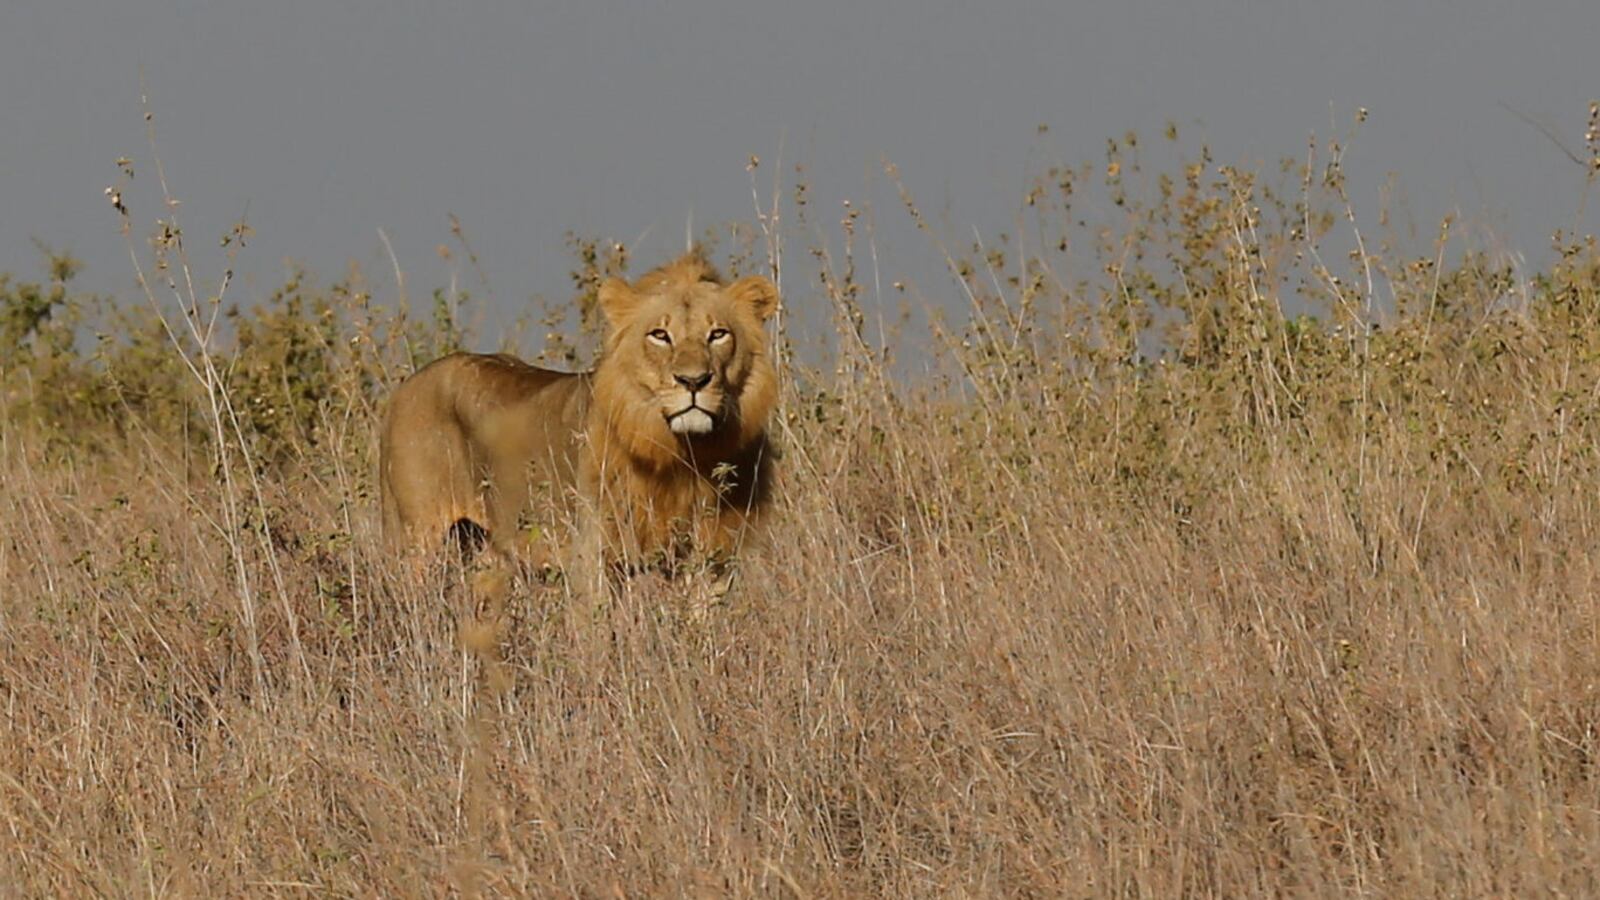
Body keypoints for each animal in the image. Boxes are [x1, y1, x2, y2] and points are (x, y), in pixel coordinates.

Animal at [379, 252, 780, 582]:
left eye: (718, 334)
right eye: (660, 335)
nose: (694, 381)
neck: (686, 453)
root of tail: (406, 385)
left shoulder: (716, 558)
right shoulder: (593, 555)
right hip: (418, 538)